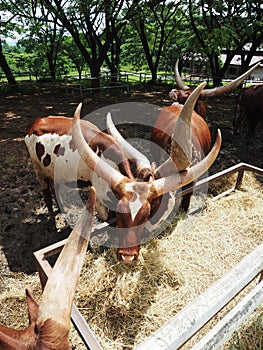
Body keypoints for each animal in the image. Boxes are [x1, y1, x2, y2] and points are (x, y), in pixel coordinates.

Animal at [25, 82, 223, 262]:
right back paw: (53, 220)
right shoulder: (100, 200)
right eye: (122, 213)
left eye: (146, 215)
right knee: (46, 192)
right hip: (37, 168)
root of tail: (37, 121)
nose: (128, 257)